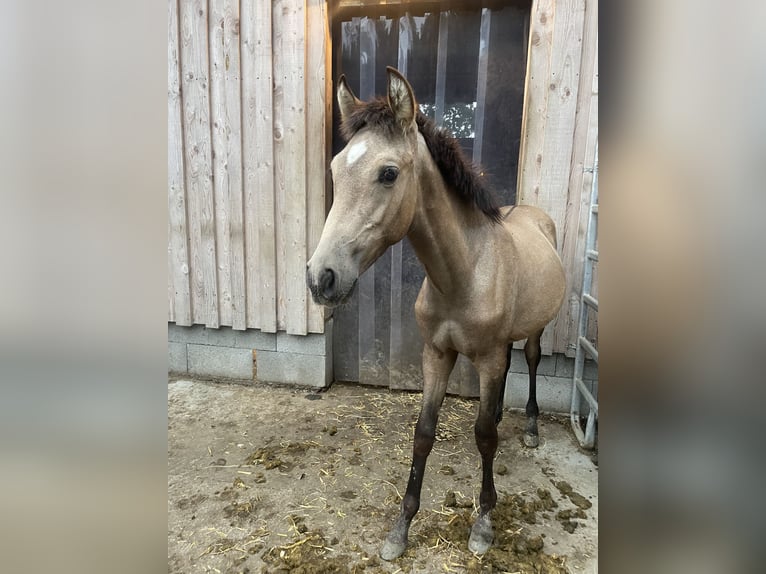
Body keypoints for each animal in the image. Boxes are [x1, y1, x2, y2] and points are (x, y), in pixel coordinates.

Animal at [308, 67, 568, 564]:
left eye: (388, 173)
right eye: (334, 169)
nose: (320, 278)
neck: (463, 274)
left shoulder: (486, 358)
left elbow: (482, 436)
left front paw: (483, 523)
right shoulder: (436, 354)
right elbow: (424, 432)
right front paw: (401, 528)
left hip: (535, 331)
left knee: (528, 362)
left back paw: (528, 426)